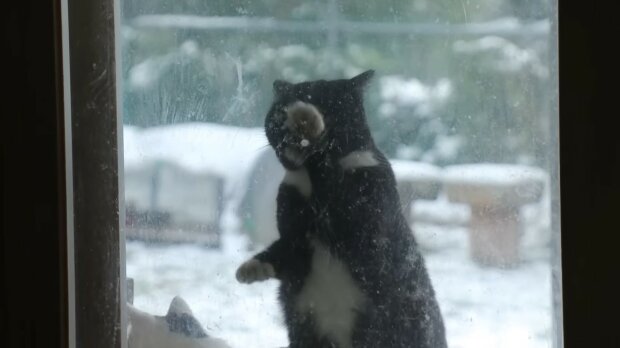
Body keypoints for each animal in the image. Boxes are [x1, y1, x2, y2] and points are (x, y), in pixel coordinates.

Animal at [236, 70, 446, 348]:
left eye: (326, 103)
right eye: (278, 116)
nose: (288, 132)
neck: (317, 174)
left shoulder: (365, 222)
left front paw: (306, 117)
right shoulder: (295, 238)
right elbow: (281, 250)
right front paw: (250, 268)